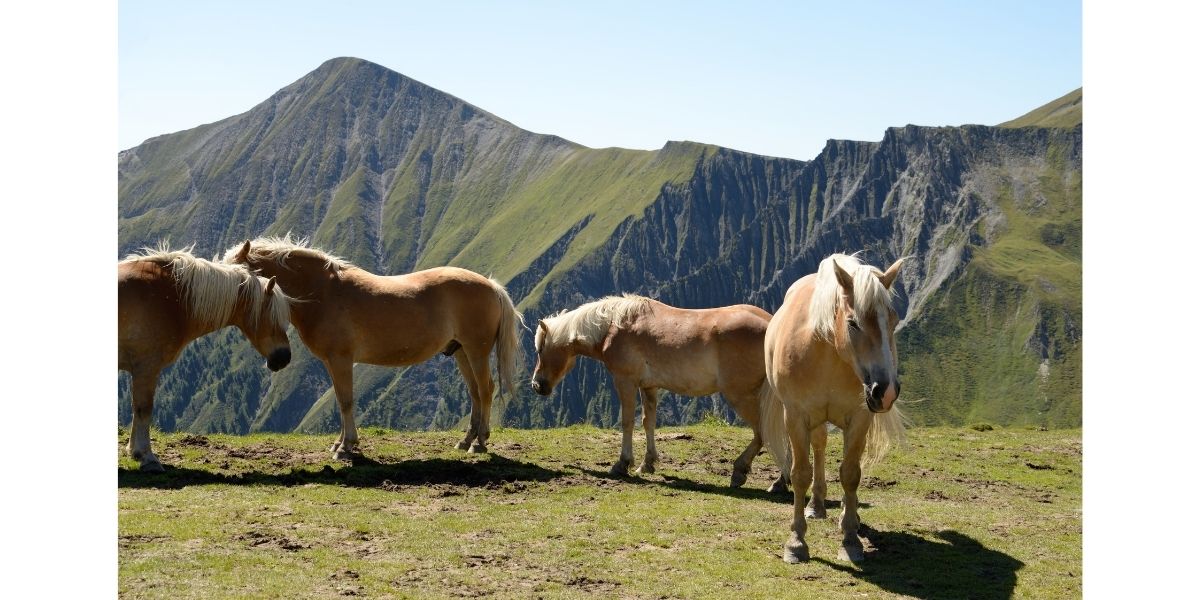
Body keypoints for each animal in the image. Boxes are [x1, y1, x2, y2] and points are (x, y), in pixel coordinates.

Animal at [116, 246, 292, 470]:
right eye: (273, 317)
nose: (284, 357)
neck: (170, 298)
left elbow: (137, 410)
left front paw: (136, 452)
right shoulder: (147, 368)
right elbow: (143, 409)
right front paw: (146, 456)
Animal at [225, 235, 525, 458]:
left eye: (240, 275)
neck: (323, 292)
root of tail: (492, 286)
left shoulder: (341, 359)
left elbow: (346, 400)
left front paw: (346, 447)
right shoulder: (332, 362)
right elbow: (340, 400)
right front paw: (340, 443)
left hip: (476, 351)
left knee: (485, 390)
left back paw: (480, 442)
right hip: (462, 352)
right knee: (474, 393)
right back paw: (466, 440)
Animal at [530, 292, 782, 489]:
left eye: (540, 349)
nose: (537, 385)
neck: (613, 327)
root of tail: (771, 324)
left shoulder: (625, 382)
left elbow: (627, 422)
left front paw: (622, 464)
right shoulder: (648, 387)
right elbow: (647, 422)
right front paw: (647, 463)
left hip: (740, 395)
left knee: (764, 432)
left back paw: (744, 471)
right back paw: (778, 482)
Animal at [758, 252, 907, 561]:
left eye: (894, 321)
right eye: (853, 323)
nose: (885, 391)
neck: (827, 354)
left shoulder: (861, 418)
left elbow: (851, 474)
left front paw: (850, 539)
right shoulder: (796, 416)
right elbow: (800, 474)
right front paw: (796, 542)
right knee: (819, 445)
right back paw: (816, 506)